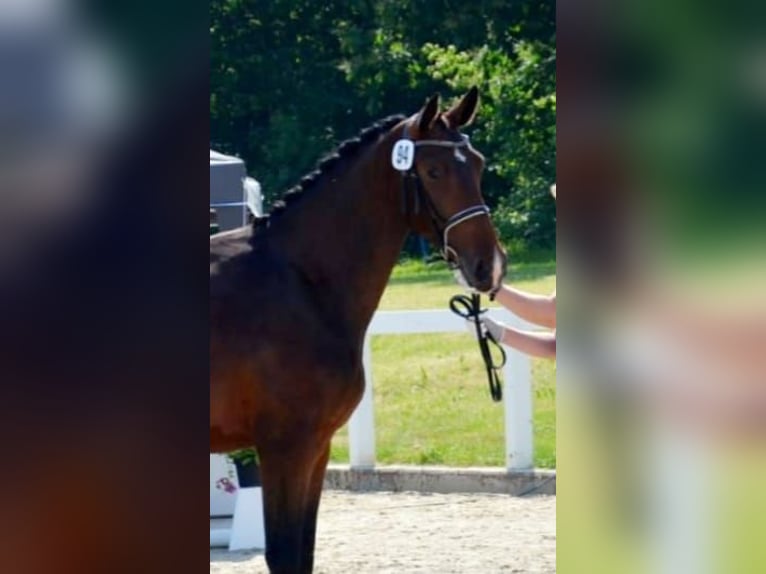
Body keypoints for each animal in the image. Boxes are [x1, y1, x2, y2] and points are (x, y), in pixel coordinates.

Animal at [212, 86, 510, 574]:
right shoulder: (285, 448)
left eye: (479, 164)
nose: (489, 266)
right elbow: (285, 554)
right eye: (433, 170)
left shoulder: (316, 448)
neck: (300, 281)